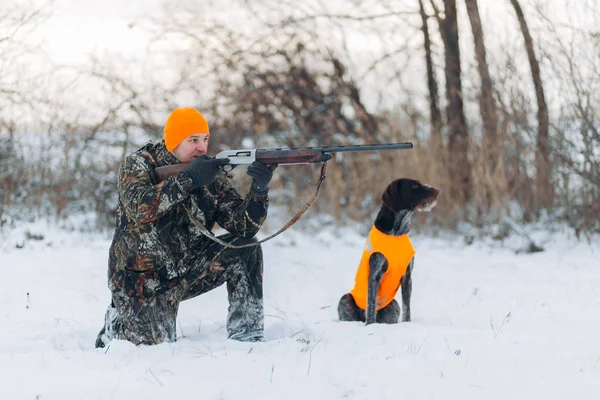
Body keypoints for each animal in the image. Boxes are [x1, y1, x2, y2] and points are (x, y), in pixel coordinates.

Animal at [338, 178, 440, 324]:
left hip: (393, 306)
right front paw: (370, 325)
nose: (437, 191)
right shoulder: (375, 275)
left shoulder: (407, 277)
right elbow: (371, 305)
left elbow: (407, 307)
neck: (396, 233)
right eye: (414, 186)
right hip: (345, 299)